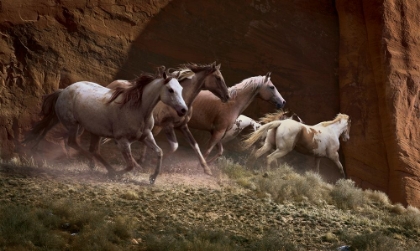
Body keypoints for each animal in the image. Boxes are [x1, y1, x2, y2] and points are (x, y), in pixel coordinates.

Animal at [23, 69, 187, 183]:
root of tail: (63, 90)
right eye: (170, 90)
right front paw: (121, 173)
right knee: (73, 143)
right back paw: (96, 165)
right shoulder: (122, 141)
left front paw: (152, 178)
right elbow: (130, 164)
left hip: (95, 131)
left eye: (181, 89)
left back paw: (102, 167)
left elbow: (159, 152)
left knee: (94, 150)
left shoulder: (146, 136)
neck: (137, 109)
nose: (183, 110)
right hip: (73, 126)